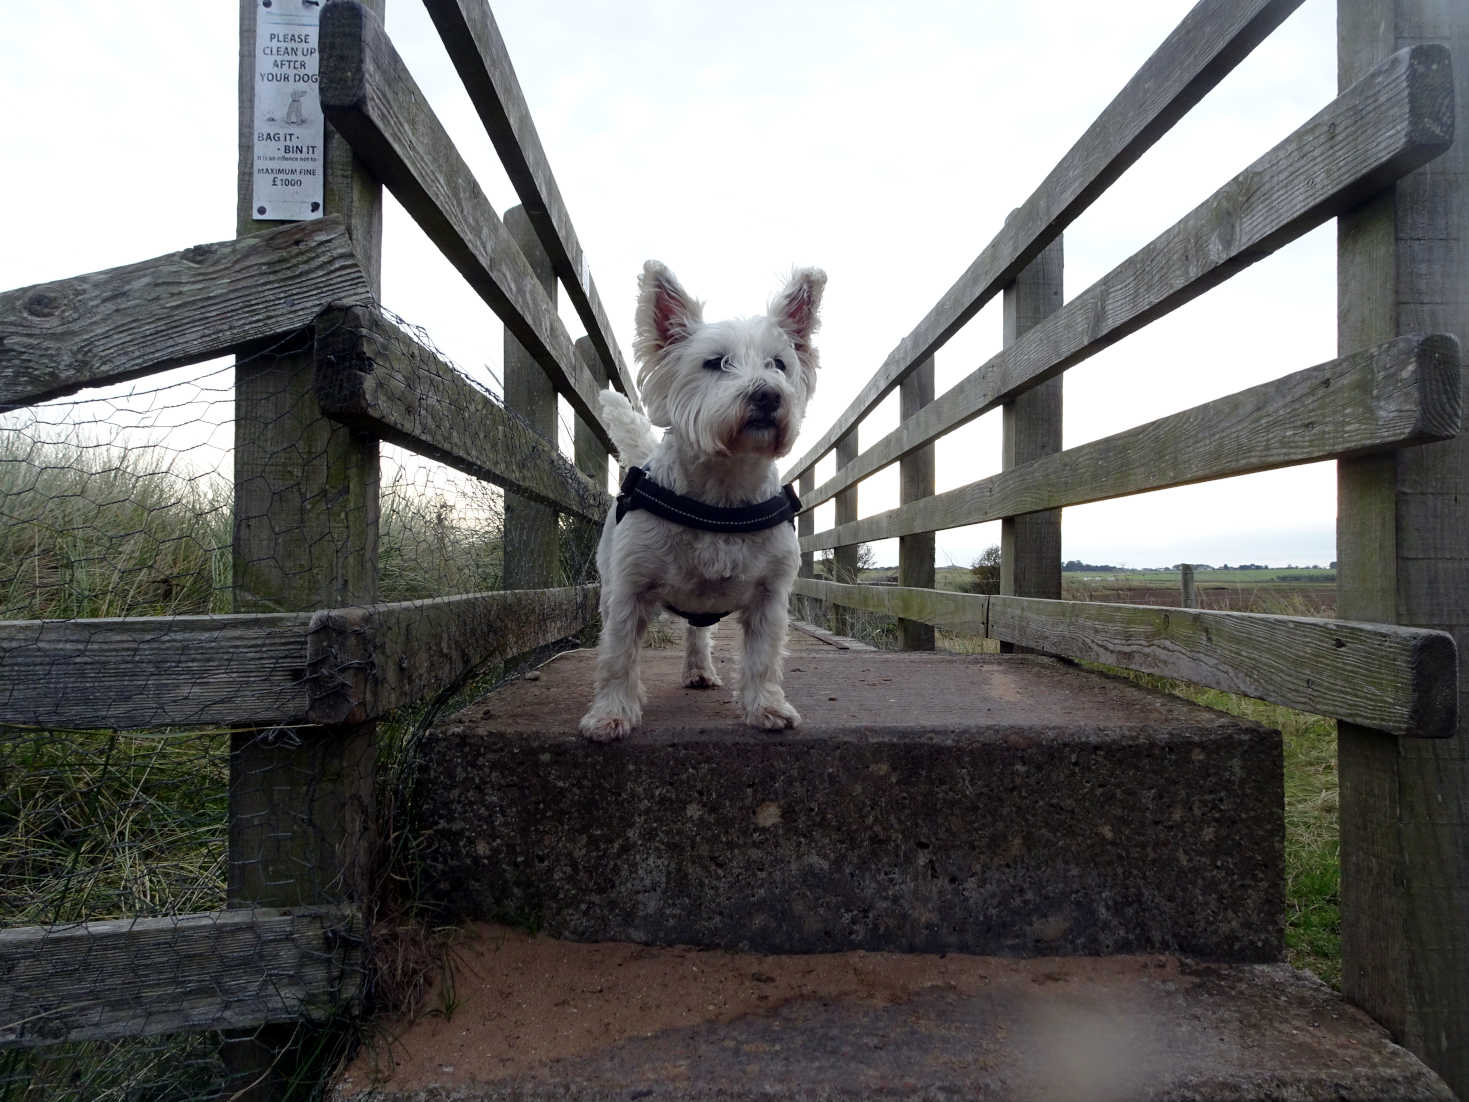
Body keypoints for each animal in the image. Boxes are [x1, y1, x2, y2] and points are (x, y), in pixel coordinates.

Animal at [575, 258, 828, 743]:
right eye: (715, 363)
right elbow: (618, 656)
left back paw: (699, 669)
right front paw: (610, 715)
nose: (768, 395)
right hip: (610, 583)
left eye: (779, 364)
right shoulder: (629, 589)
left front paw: (767, 707)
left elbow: (763, 657)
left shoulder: (770, 595)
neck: (722, 496)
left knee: (697, 633)